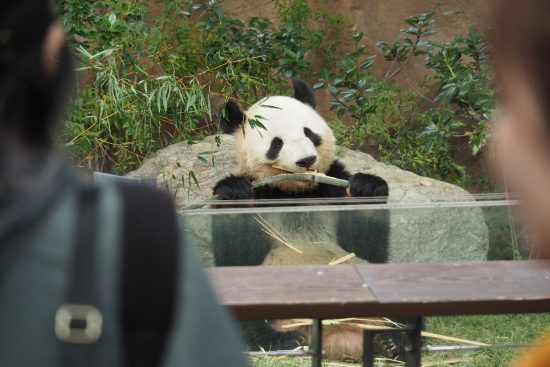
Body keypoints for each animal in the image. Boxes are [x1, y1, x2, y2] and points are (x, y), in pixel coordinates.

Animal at [212, 80, 396, 360]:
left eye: (309, 133)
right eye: (276, 143)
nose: (306, 160)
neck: (297, 192)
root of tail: (335, 335)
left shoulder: (331, 188)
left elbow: (364, 245)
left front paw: (368, 187)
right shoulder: (262, 194)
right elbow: (235, 252)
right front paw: (233, 192)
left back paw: (389, 340)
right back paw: (280, 340)